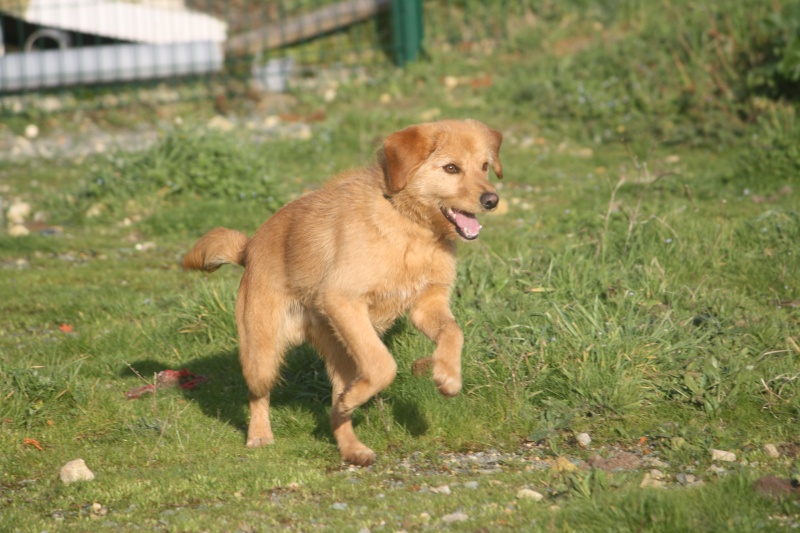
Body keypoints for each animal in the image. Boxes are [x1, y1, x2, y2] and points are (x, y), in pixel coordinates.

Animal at [184, 118, 504, 464]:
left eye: (485, 166)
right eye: (451, 168)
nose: (492, 200)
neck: (407, 224)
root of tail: (248, 248)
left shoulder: (426, 304)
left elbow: (453, 332)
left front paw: (448, 376)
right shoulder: (343, 301)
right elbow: (384, 365)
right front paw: (362, 396)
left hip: (342, 356)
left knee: (336, 409)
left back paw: (352, 448)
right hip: (263, 354)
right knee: (259, 394)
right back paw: (259, 435)